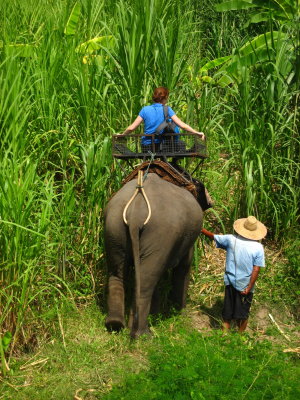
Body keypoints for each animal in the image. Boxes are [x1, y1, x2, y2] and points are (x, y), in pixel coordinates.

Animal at [103, 172, 204, 338]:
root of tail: (136, 210)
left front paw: (156, 313)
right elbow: (183, 267)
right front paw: (180, 313)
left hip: (113, 227)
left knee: (117, 273)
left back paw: (115, 324)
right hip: (160, 232)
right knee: (145, 283)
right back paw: (143, 334)